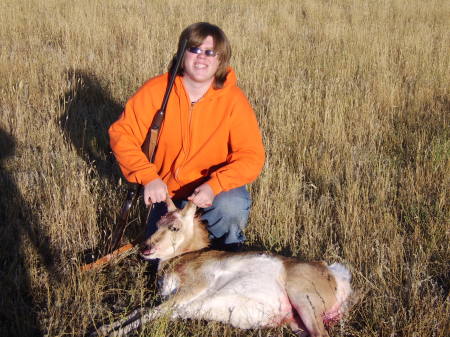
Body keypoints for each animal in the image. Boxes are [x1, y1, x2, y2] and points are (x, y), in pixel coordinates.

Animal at [95, 198, 354, 334]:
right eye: (157, 222)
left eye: (174, 227)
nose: (145, 248)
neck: (187, 256)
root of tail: (333, 273)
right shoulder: (174, 304)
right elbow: (140, 311)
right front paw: (103, 328)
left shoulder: (187, 292)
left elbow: (147, 313)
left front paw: (110, 332)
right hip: (296, 322)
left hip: (303, 302)